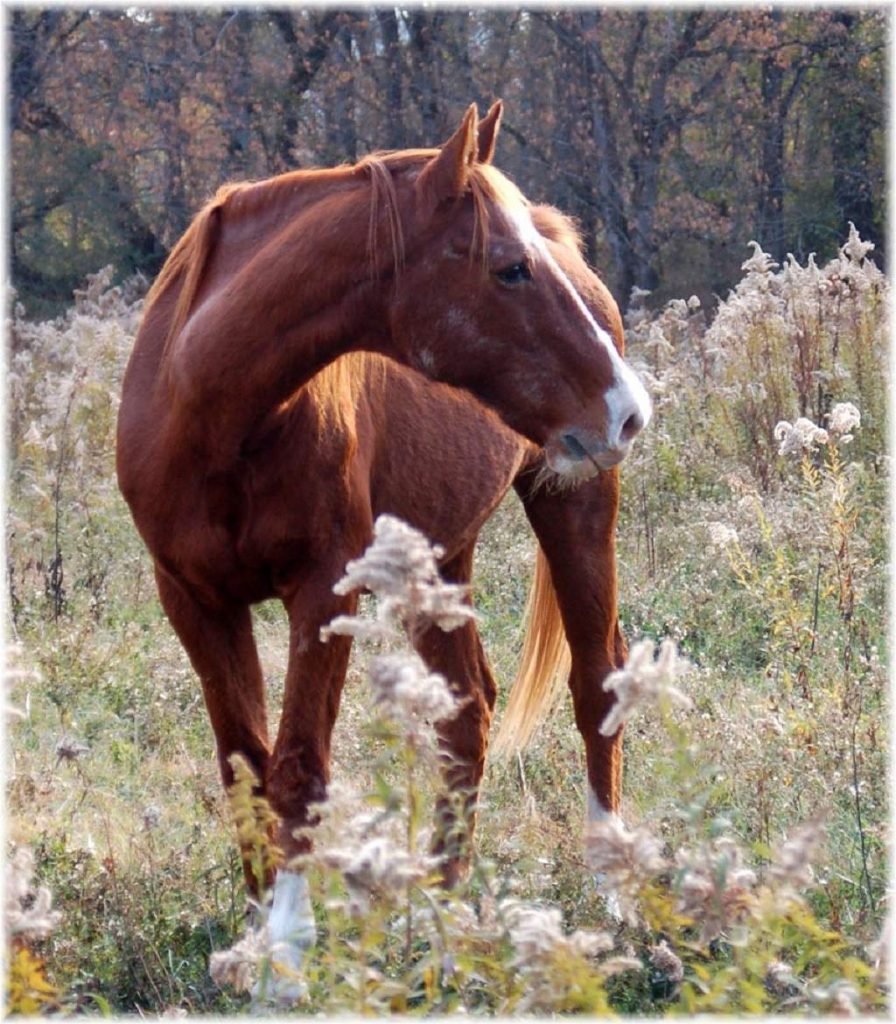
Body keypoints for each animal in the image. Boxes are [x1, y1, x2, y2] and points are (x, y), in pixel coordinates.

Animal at [117, 103, 651, 983]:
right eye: (509, 269)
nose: (628, 409)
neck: (210, 404)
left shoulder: (323, 590)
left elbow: (298, 766)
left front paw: (287, 951)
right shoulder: (192, 601)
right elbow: (243, 765)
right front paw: (256, 939)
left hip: (575, 506)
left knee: (594, 686)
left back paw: (612, 893)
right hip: (439, 556)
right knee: (467, 713)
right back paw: (437, 900)